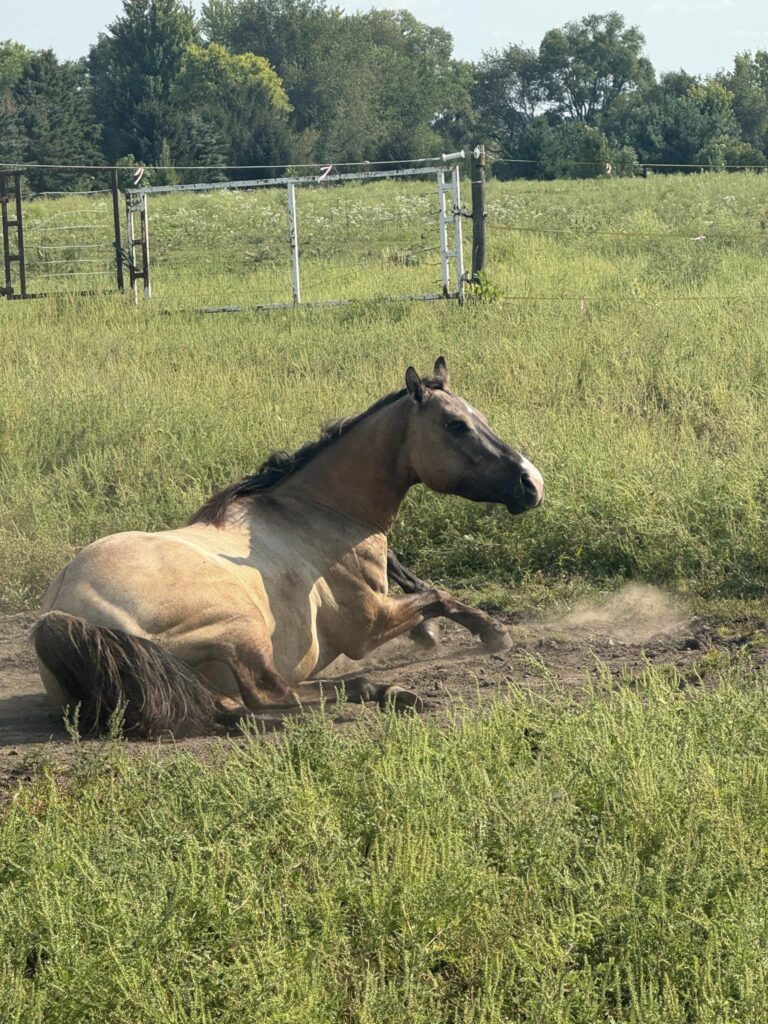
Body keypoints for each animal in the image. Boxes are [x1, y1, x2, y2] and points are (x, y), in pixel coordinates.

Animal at [33, 357, 543, 737]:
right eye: (456, 425)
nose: (532, 482)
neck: (319, 511)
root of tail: (64, 613)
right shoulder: (367, 626)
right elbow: (436, 596)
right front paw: (492, 632)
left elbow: (424, 589)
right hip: (240, 627)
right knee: (269, 694)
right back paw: (379, 693)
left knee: (237, 706)